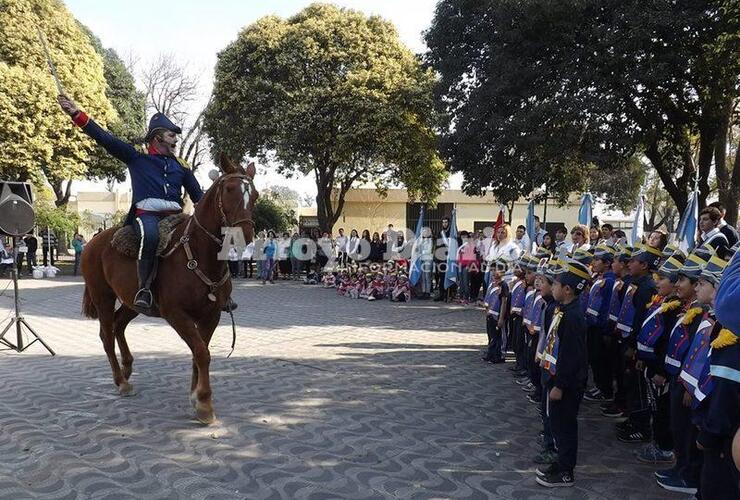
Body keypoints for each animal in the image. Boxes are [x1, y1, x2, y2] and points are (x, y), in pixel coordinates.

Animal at [81, 156, 258, 422]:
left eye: (255, 194)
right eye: (229, 189)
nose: (242, 235)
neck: (199, 254)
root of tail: (93, 241)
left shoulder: (211, 315)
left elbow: (200, 352)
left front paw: (195, 395)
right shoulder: (176, 315)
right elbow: (201, 352)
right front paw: (204, 403)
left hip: (133, 302)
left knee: (119, 325)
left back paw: (127, 367)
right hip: (103, 297)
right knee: (106, 335)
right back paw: (121, 381)